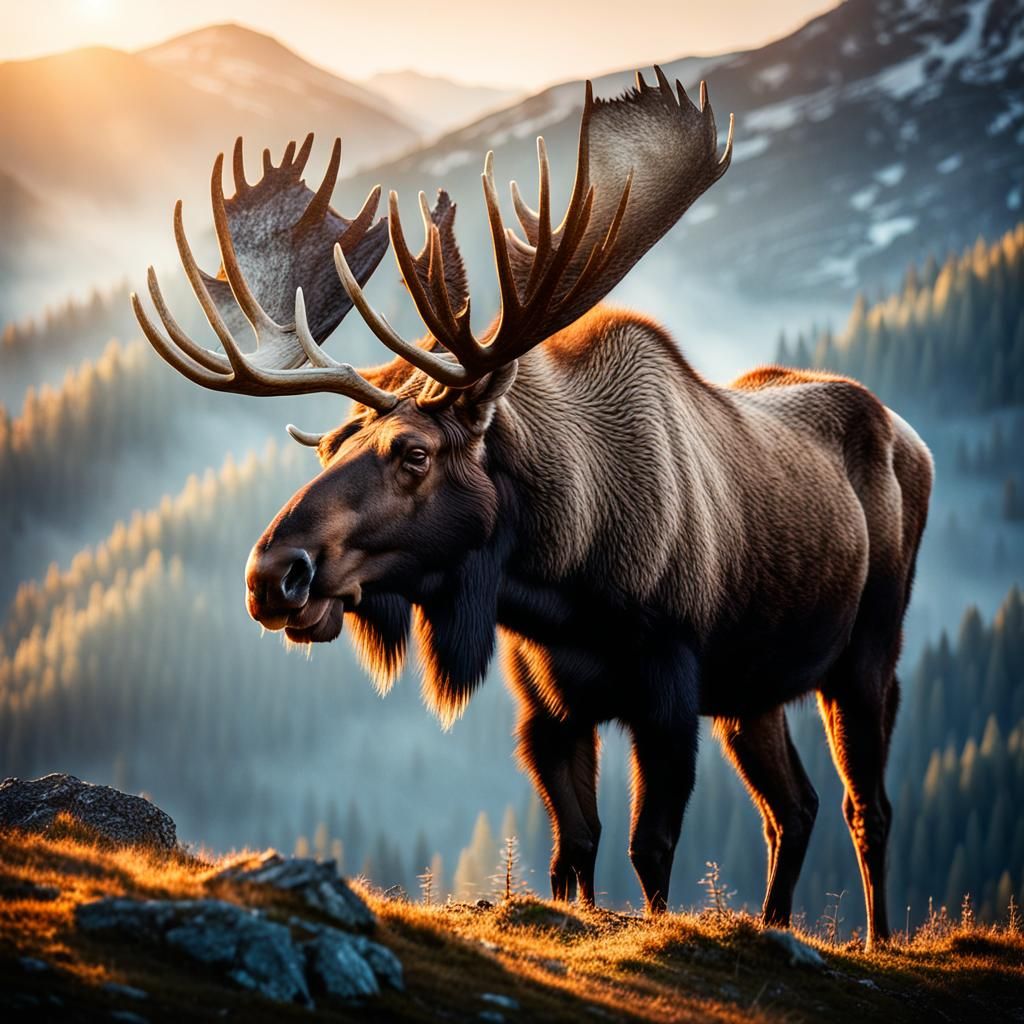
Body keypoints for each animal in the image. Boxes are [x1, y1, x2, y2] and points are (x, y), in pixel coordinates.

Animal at [132, 69, 932, 948]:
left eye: (414, 452)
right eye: (330, 445)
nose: (274, 574)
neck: (569, 578)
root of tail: (911, 437)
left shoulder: (670, 689)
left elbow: (649, 851)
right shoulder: (547, 710)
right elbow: (571, 854)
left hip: (866, 653)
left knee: (866, 805)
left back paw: (875, 939)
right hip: (753, 690)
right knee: (795, 807)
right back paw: (773, 926)